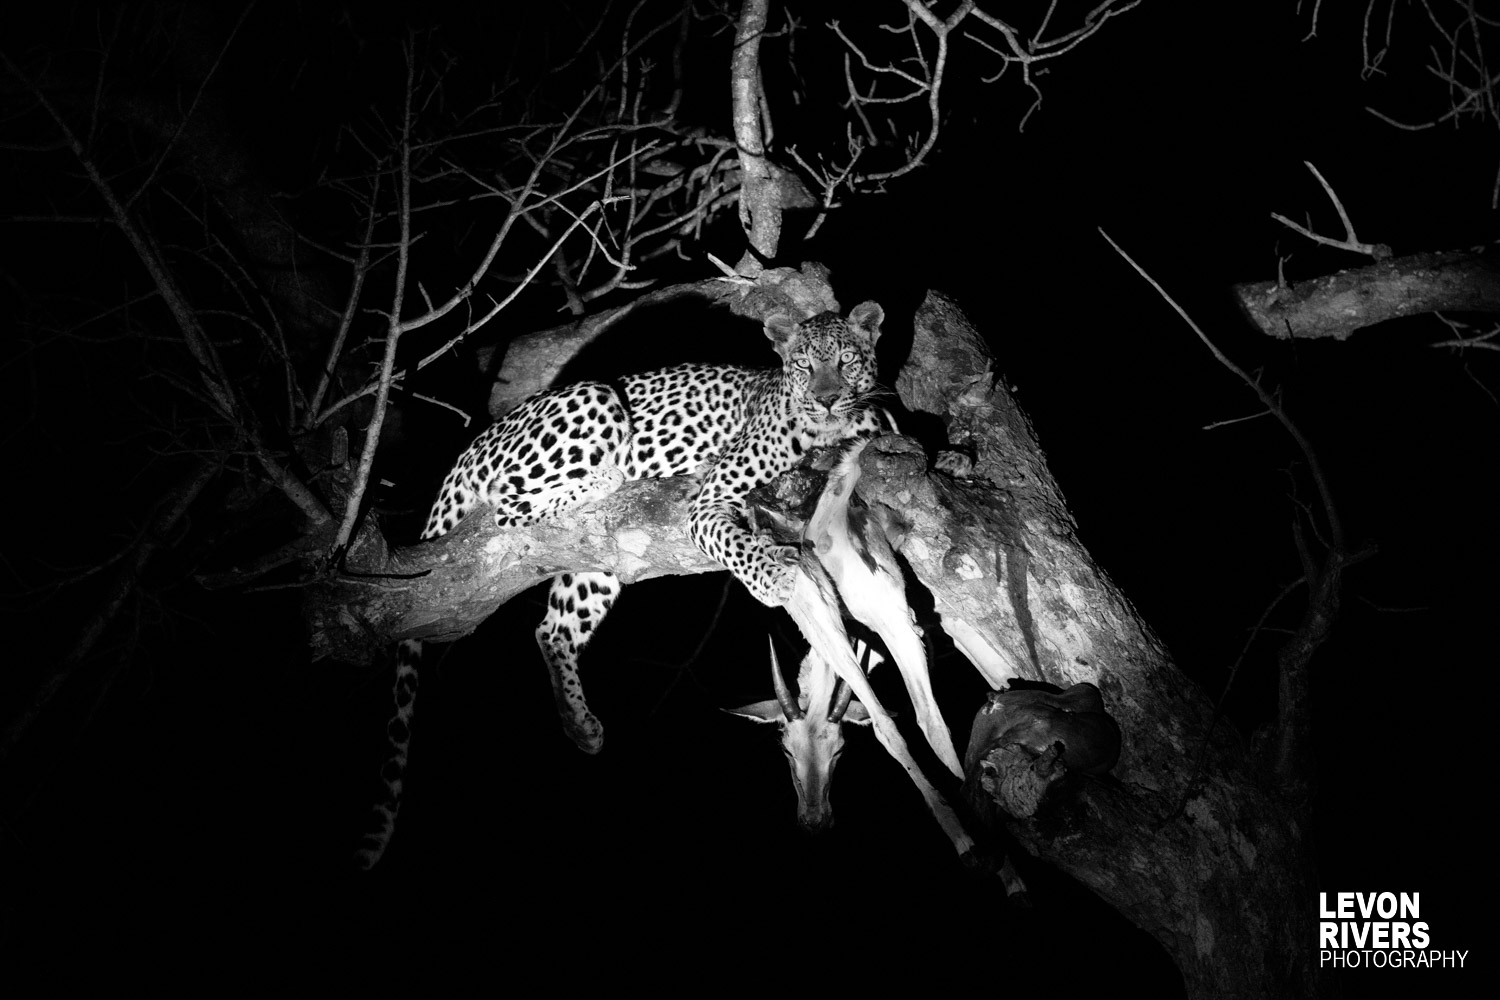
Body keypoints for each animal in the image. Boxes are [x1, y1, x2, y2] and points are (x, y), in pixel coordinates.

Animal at [353, 300, 887, 869]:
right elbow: (728, 537)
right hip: (594, 398)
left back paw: (579, 723)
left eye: (847, 360)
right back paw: (606, 477)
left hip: (601, 561)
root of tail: (472, 444)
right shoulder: (710, 498)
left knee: (552, 628)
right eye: (805, 365)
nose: (826, 398)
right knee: (507, 502)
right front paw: (775, 577)